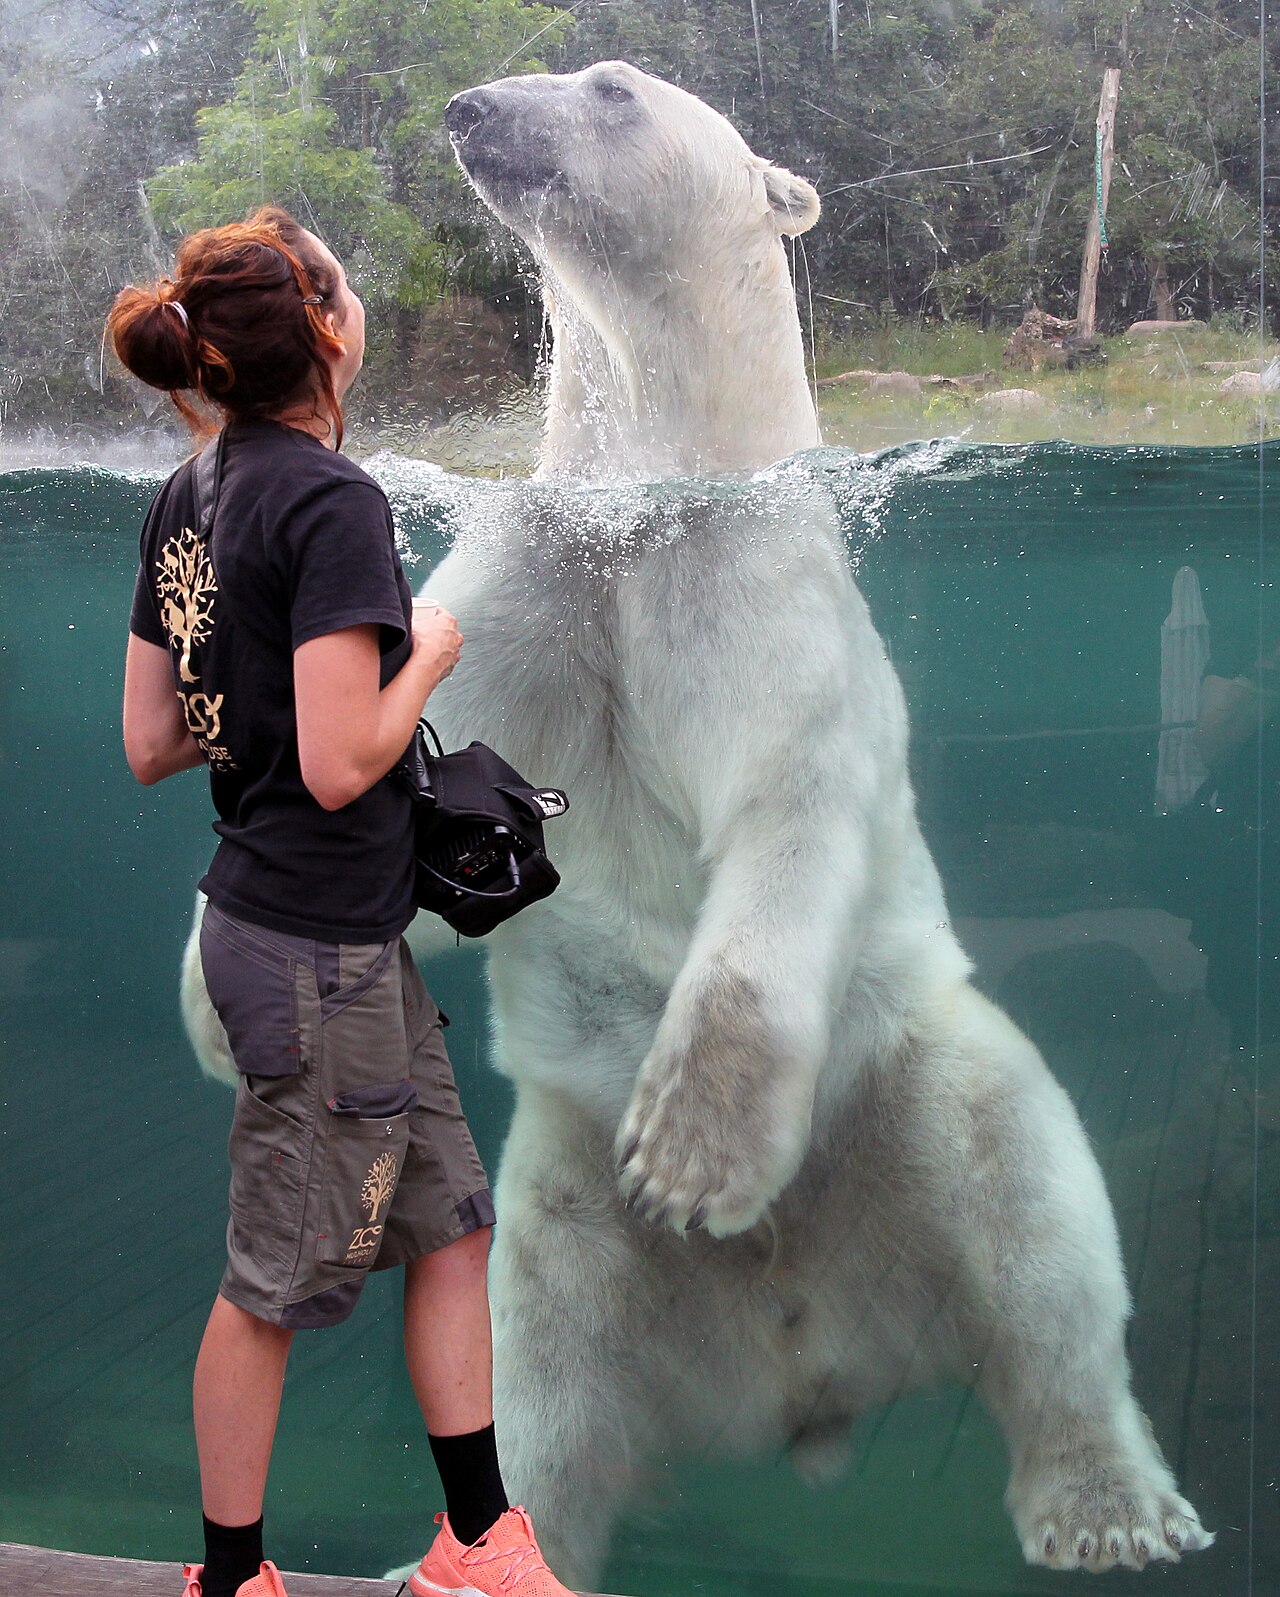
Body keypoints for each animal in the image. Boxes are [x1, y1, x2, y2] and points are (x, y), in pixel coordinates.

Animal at [183, 60, 1212, 1587]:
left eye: (610, 85)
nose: (471, 106)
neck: (652, 488)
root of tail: (813, 1372)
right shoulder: (534, 583)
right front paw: (221, 1001)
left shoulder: (742, 588)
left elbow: (784, 812)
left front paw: (690, 1153)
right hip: (563, 1222)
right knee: (538, 1379)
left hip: (914, 1083)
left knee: (1037, 1237)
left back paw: (1106, 1507)